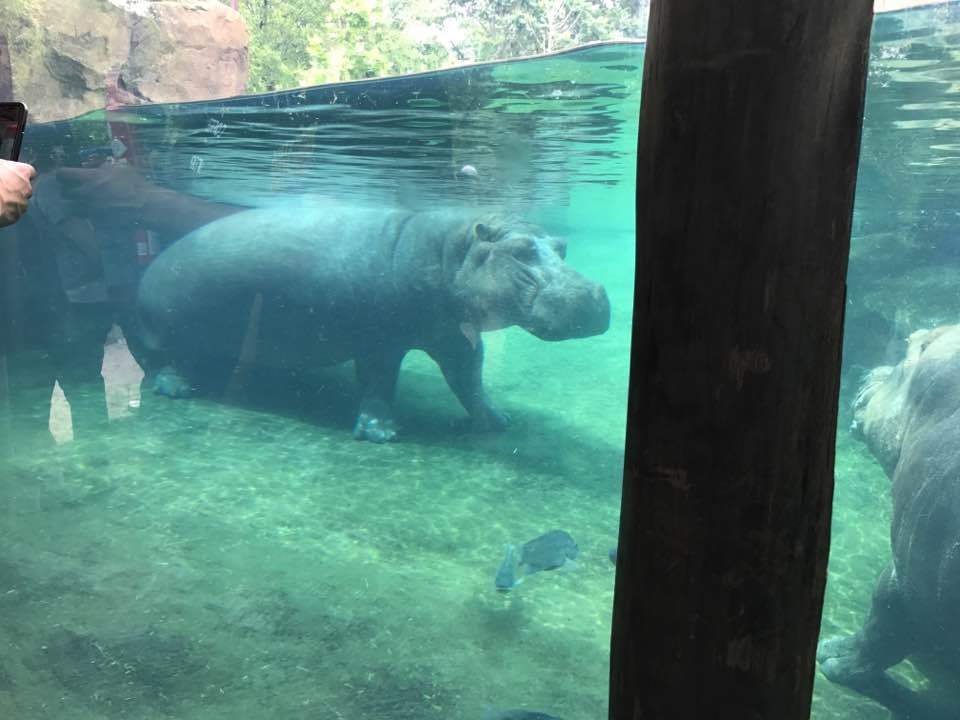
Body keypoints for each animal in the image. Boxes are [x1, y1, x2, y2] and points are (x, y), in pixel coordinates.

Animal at [136, 203, 610, 442]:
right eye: (522, 251)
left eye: (562, 246)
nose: (596, 295)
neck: (452, 252)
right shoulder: (380, 339)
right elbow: (380, 382)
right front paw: (381, 433)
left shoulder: (453, 337)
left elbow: (470, 380)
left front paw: (497, 420)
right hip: (157, 329)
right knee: (156, 363)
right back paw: (178, 388)